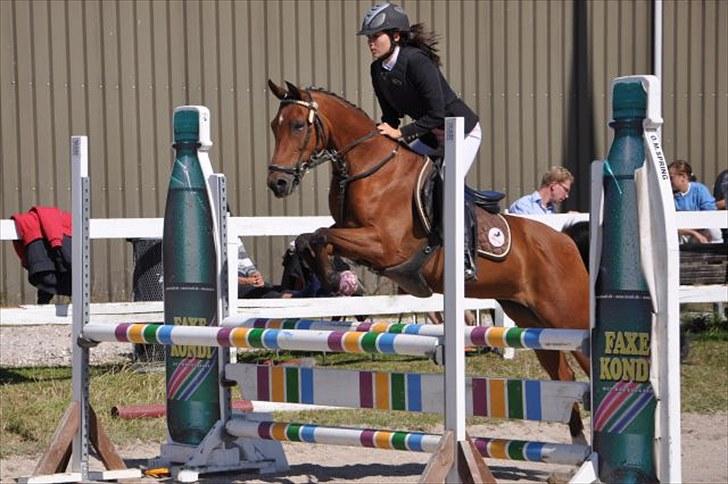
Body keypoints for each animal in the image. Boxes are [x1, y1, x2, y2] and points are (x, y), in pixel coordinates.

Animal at [266, 80, 590, 441]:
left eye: (298, 126)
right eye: (275, 126)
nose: (277, 183)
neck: (370, 167)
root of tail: (565, 240)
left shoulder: (384, 245)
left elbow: (321, 234)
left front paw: (334, 281)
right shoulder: (353, 235)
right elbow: (311, 238)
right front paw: (332, 280)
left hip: (567, 316)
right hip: (531, 320)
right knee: (564, 378)